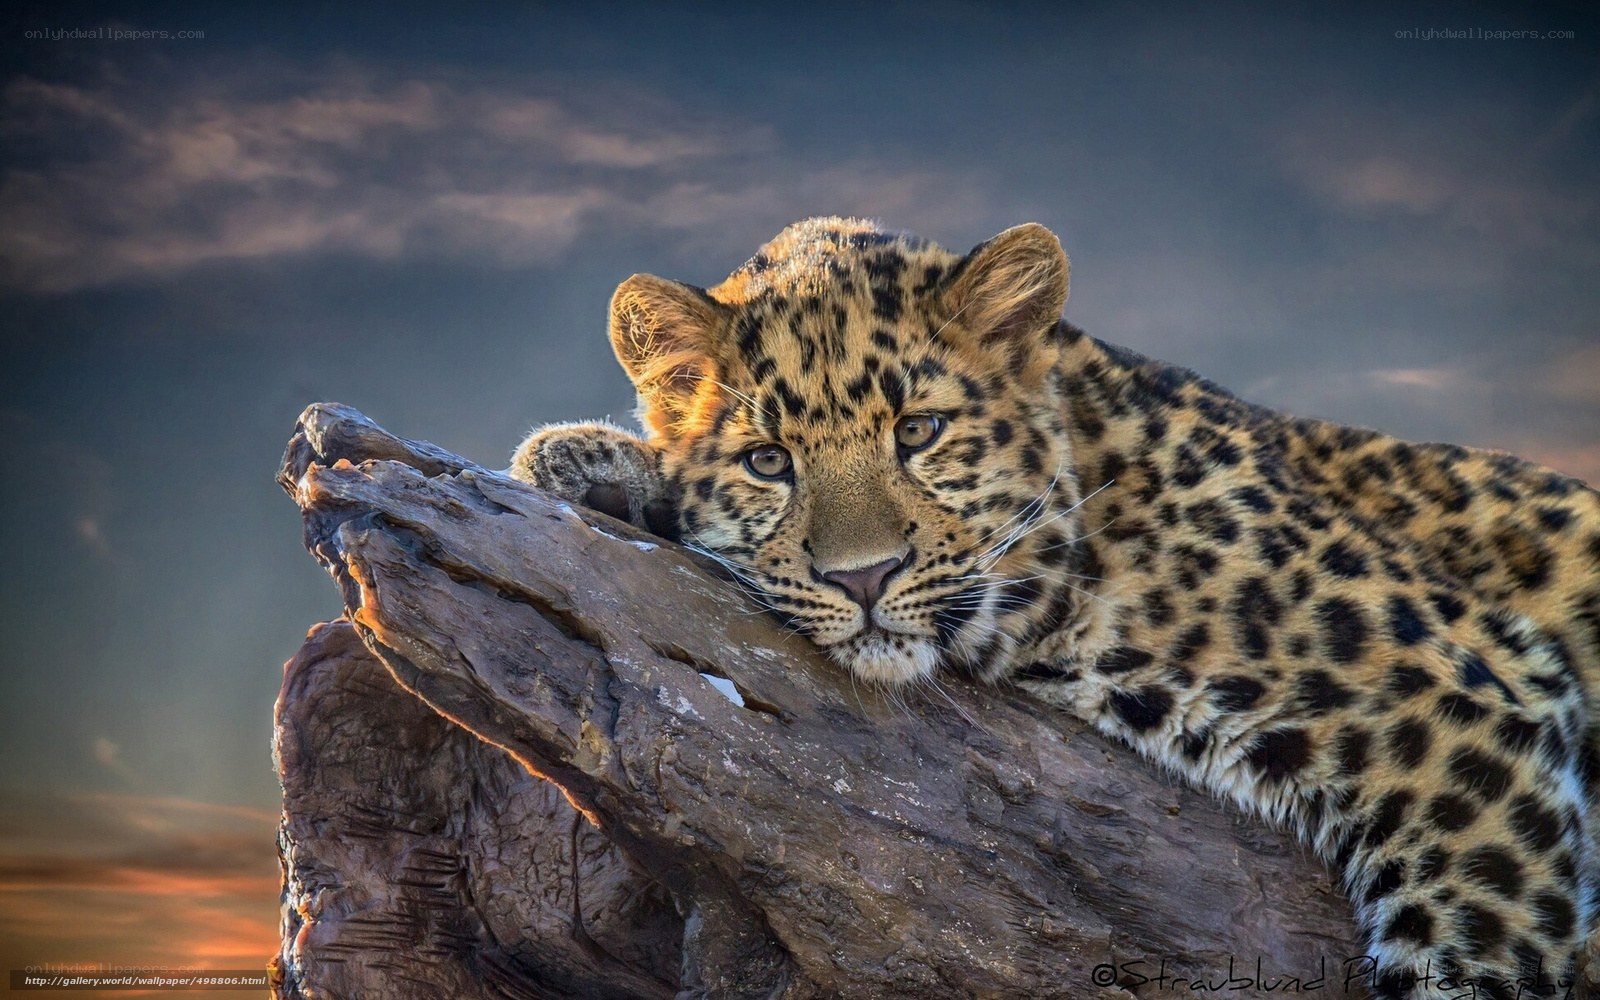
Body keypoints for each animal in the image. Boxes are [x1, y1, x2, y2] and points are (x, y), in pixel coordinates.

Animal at [509, 217, 1600, 998]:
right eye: (769, 461)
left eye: (921, 431)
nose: (863, 576)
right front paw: (589, 463)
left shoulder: (1467, 706)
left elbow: (1474, 951)